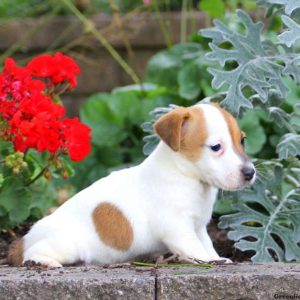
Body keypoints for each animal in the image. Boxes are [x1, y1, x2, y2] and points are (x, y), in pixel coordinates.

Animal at [7, 103, 255, 268]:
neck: (184, 174)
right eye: (216, 147)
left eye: (242, 140)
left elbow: (207, 245)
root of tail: (24, 239)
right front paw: (210, 261)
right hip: (66, 245)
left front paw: (216, 258)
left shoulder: (199, 227)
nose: (250, 173)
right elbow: (196, 250)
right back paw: (44, 262)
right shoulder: (178, 229)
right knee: (34, 252)